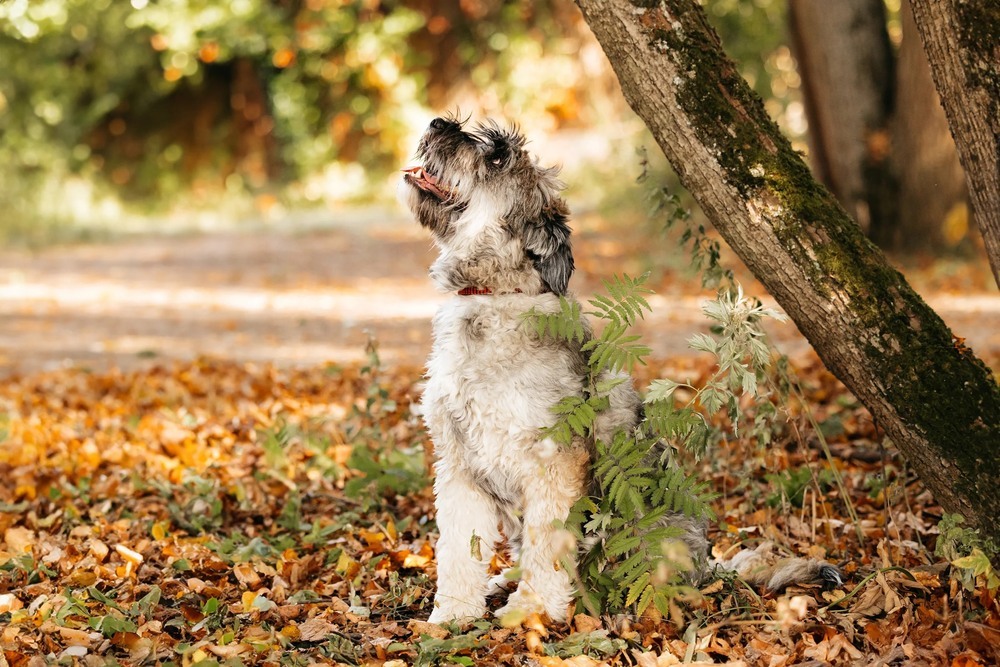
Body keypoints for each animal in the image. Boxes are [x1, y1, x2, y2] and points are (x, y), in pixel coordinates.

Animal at [400, 117, 844, 624]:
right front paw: (453, 614)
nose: (437, 122)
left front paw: (531, 610)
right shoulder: (459, 466)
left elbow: (546, 545)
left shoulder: (553, 462)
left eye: (496, 155)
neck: (496, 297)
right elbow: (458, 548)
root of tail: (708, 567)